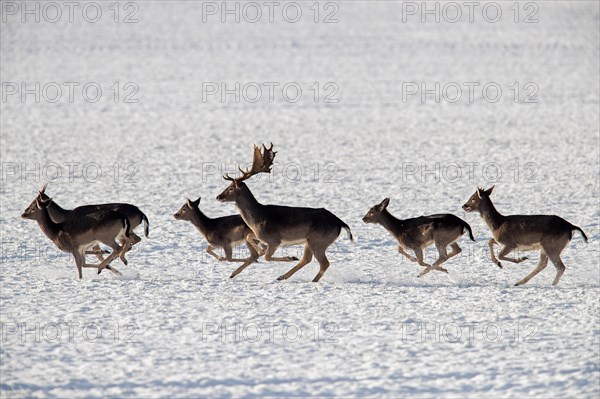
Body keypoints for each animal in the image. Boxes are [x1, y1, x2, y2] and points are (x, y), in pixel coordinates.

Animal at [216, 143, 352, 282]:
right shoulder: (261, 235)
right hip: (309, 241)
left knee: (324, 263)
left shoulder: (274, 239)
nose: (218, 197)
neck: (256, 218)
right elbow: (249, 237)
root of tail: (341, 223)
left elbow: (267, 257)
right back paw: (283, 276)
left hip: (318, 240)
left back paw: (308, 279)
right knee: (307, 259)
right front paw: (235, 271)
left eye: (230, 188)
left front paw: (283, 256)